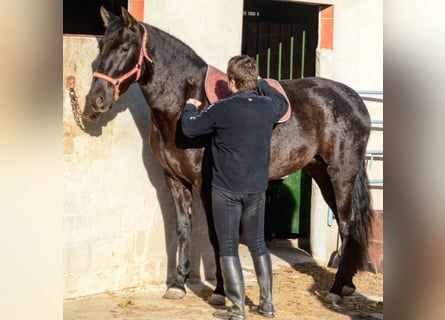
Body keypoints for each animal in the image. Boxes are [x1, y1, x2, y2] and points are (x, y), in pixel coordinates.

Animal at [85, 6, 372, 304]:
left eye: (124, 48)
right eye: (101, 45)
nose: (95, 99)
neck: (183, 103)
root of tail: (353, 99)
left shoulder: (207, 184)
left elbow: (216, 233)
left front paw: (221, 290)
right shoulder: (174, 179)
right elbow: (183, 229)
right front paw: (178, 284)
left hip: (341, 175)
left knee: (348, 224)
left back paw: (337, 289)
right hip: (321, 172)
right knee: (345, 224)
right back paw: (347, 284)